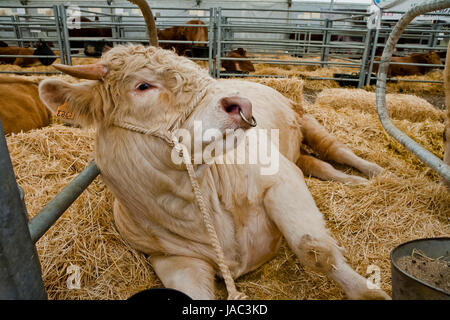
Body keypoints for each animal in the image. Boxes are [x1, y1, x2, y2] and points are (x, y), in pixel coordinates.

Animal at [38, 0, 390, 300]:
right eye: (142, 86)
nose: (242, 104)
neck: (199, 201)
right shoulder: (171, 258)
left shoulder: (281, 178)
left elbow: (315, 250)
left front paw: (368, 292)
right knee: (318, 165)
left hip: (306, 119)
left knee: (336, 152)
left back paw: (373, 175)